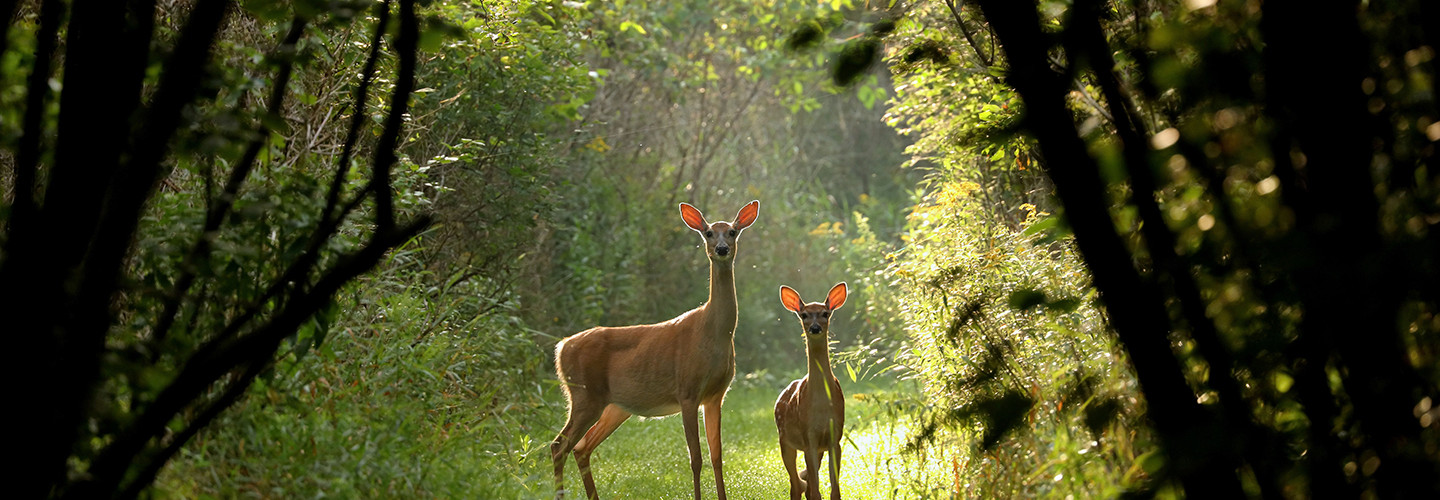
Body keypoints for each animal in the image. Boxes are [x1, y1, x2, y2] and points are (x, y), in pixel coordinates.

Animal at [547, 200, 760, 500]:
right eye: (708, 232)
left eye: (732, 231)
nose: (721, 249)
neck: (712, 334)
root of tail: (561, 347)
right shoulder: (687, 390)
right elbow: (696, 458)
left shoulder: (716, 395)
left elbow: (717, 456)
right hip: (584, 395)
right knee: (559, 446)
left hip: (614, 406)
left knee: (581, 447)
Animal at [771, 283, 846, 498]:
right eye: (804, 315)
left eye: (825, 313)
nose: (815, 328)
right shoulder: (808, 437)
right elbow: (815, 490)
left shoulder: (835, 437)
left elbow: (834, 489)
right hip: (784, 440)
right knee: (796, 485)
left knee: (803, 485)